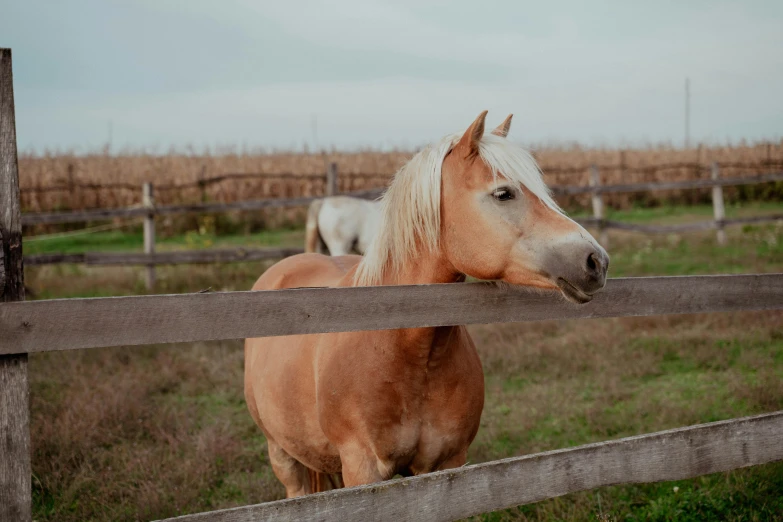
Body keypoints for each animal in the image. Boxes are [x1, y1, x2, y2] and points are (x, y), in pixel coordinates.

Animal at [242, 110, 608, 496]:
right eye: (503, 193)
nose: (596, 261)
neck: (404, 352)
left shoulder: (446, 463)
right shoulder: (362, 469)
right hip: (282, 455)